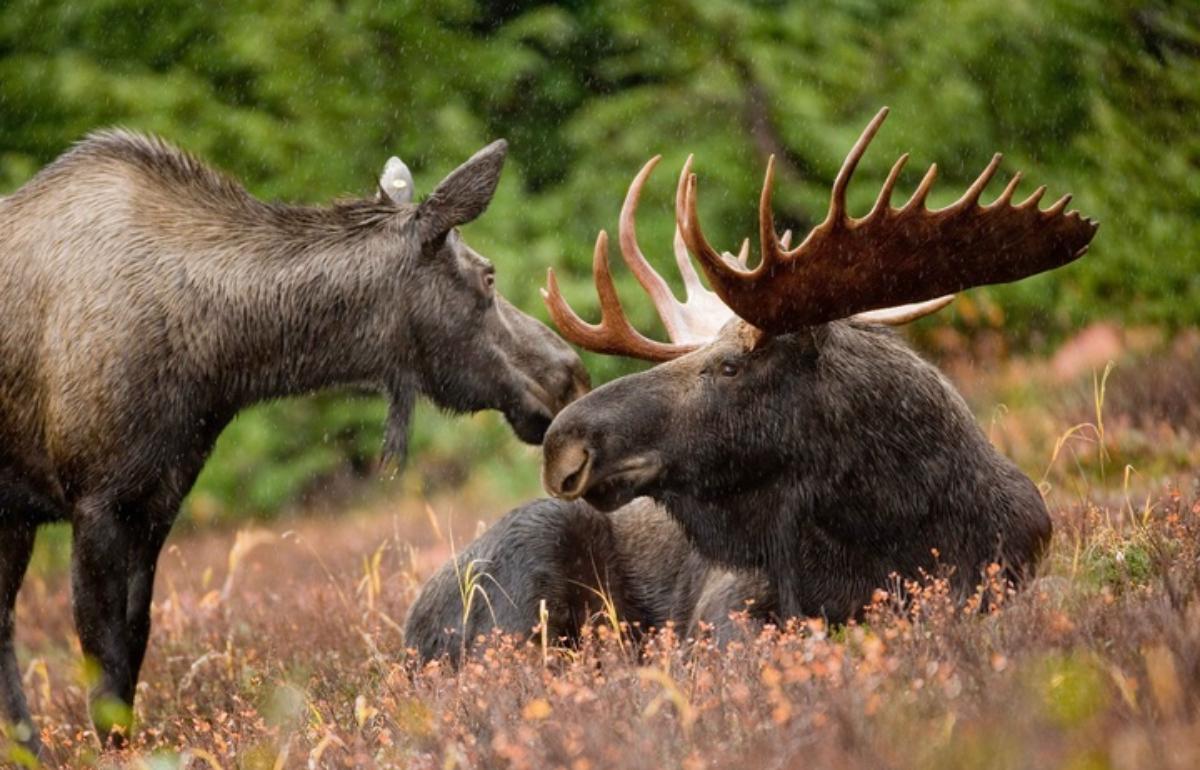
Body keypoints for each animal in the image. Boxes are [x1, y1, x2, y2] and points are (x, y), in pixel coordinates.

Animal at [0, 133, 590, 748]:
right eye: (488, 276)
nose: (569, 373)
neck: (219, 360)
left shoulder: (156, 500)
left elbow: (134, 647)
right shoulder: (96, 501)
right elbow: (105, 666)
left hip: (14, 518)